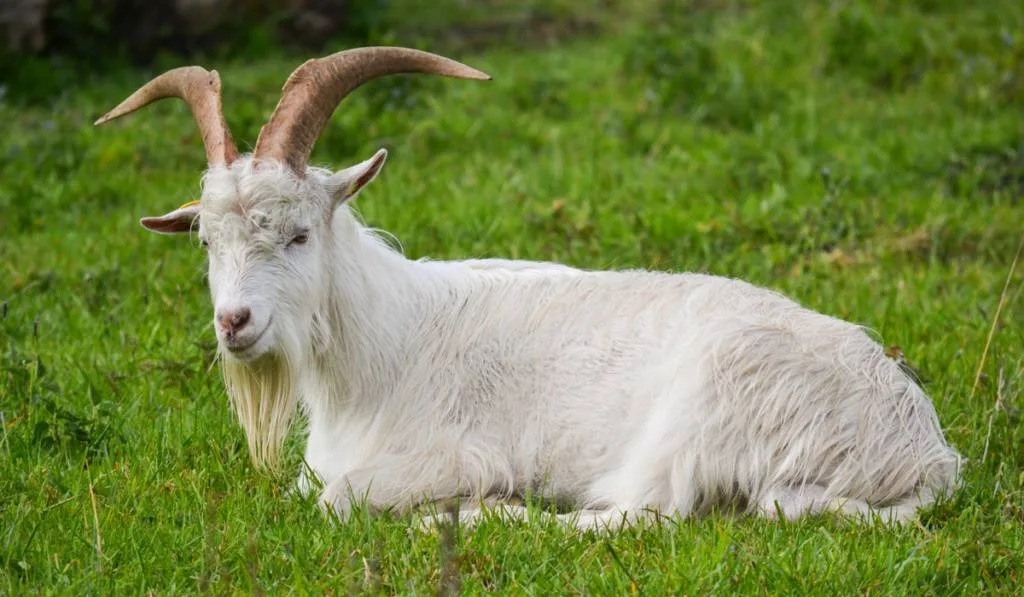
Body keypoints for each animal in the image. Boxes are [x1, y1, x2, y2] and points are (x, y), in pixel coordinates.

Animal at [94, 47, 958, 532]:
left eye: (300, 234)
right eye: (208, 241)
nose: (234, 322)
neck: (390, 342)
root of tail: (923, 455)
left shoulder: (443, 452)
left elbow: (334, 499)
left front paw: (470, 501)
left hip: (703, 412)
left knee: (643, 517)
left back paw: (492, 514)